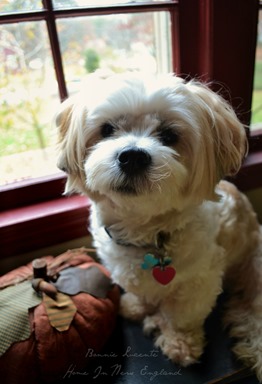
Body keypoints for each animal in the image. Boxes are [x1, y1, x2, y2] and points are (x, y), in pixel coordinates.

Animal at [56, 73, 262, 380]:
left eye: (169, 136)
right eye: (107, 129)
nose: (133, 156)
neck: (145, 233)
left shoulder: (199, 281)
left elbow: (181, 316)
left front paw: (180, 343)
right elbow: (138, 290)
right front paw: (136, 305)